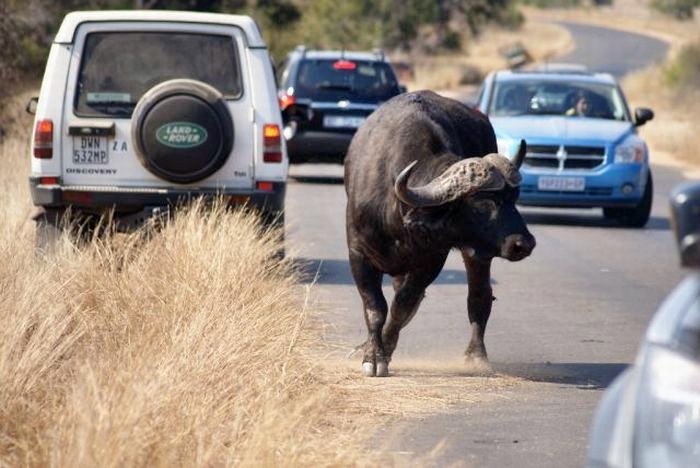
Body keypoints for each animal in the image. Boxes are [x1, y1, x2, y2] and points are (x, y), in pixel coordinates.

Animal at [344, 90, 536, 376]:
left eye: (514, 198)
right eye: (484, 202)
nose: (524, 244)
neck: (398, 210)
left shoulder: (432, 259)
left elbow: (402, 306)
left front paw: (384, 351)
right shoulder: (358, 253)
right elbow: (375, 308)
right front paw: (372, 355)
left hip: (478, 253)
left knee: (479, 296)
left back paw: (476, 355)